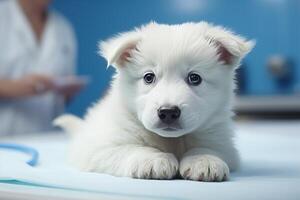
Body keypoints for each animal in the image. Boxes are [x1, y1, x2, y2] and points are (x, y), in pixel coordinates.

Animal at [54, 21, 253, 181]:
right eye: (148, 77)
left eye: (194, 78)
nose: (168, 112)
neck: (172, 141)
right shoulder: (99, 148)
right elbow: (129, 148)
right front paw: (153, 160)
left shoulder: (223, 144)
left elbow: (208, 148)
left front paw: (204, 160)